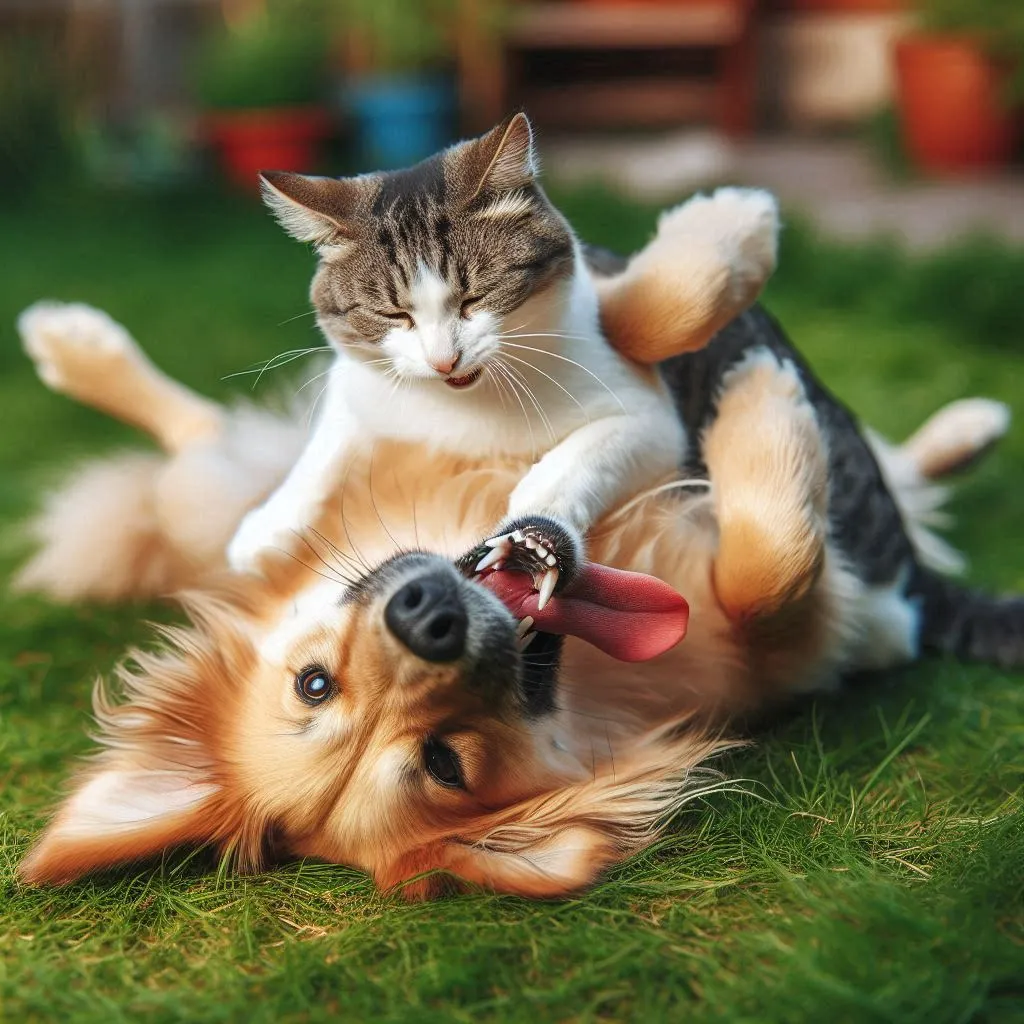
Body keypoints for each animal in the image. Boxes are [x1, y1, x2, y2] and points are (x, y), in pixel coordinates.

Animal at [14, 296, 1015, 897]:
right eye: (443, 764)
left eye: (312, 683)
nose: (428, 618)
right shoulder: (799, 636)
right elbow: (778, 574)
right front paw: (763, 405)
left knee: (212, 439)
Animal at [230, 114, 774, 606]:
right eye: (394, 313)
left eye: (476, 296)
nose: (443, 360)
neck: (464, 407)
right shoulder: (358, 380)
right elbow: (328, 439)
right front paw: (268, 525)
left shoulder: (649, 414)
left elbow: (586, 454)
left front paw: (533, 527)